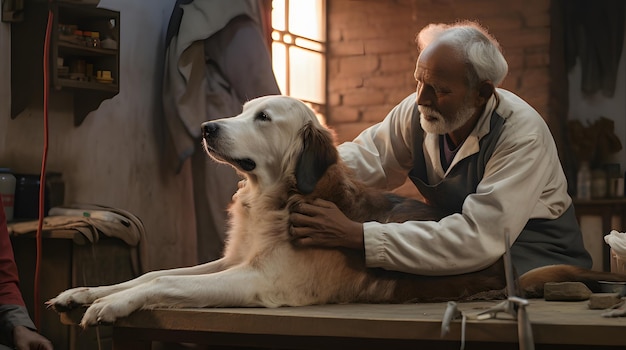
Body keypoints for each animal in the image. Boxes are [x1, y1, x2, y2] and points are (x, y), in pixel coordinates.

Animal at [50, 94, 624, 326]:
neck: (276, 197)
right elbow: (153, 274)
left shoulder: (259, 281)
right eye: (241, 111)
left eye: (263, 117)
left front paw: (111, 306)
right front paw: (86, 293)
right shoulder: (232, 263)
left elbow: (163, 283)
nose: (208, 128)